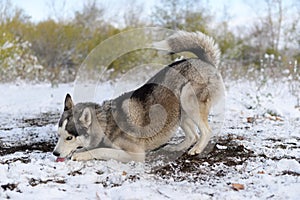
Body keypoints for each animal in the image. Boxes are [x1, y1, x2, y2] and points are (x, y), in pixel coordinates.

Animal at [52, 31, 224, 162]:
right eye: (59, 135)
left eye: (69, 138)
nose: (55, 153)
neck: (106, 124)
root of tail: (204, 61)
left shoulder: (134, 153)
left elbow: (101, 150)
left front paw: (81, 155)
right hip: (177, 112)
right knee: (193, 135)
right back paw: (176, 147)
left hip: (187, 99)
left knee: (206, 131)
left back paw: (196, 149)